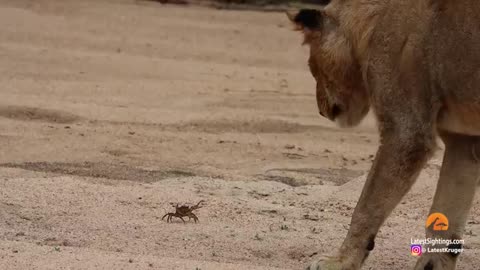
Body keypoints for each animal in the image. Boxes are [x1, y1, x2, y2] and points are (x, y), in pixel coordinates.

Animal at [286, 0, 478, 270]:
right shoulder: (462, 143)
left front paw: (340, 261)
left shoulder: (406, 133)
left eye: (312, 67)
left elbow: (365, 207)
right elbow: (445, 224)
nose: (321, 111)